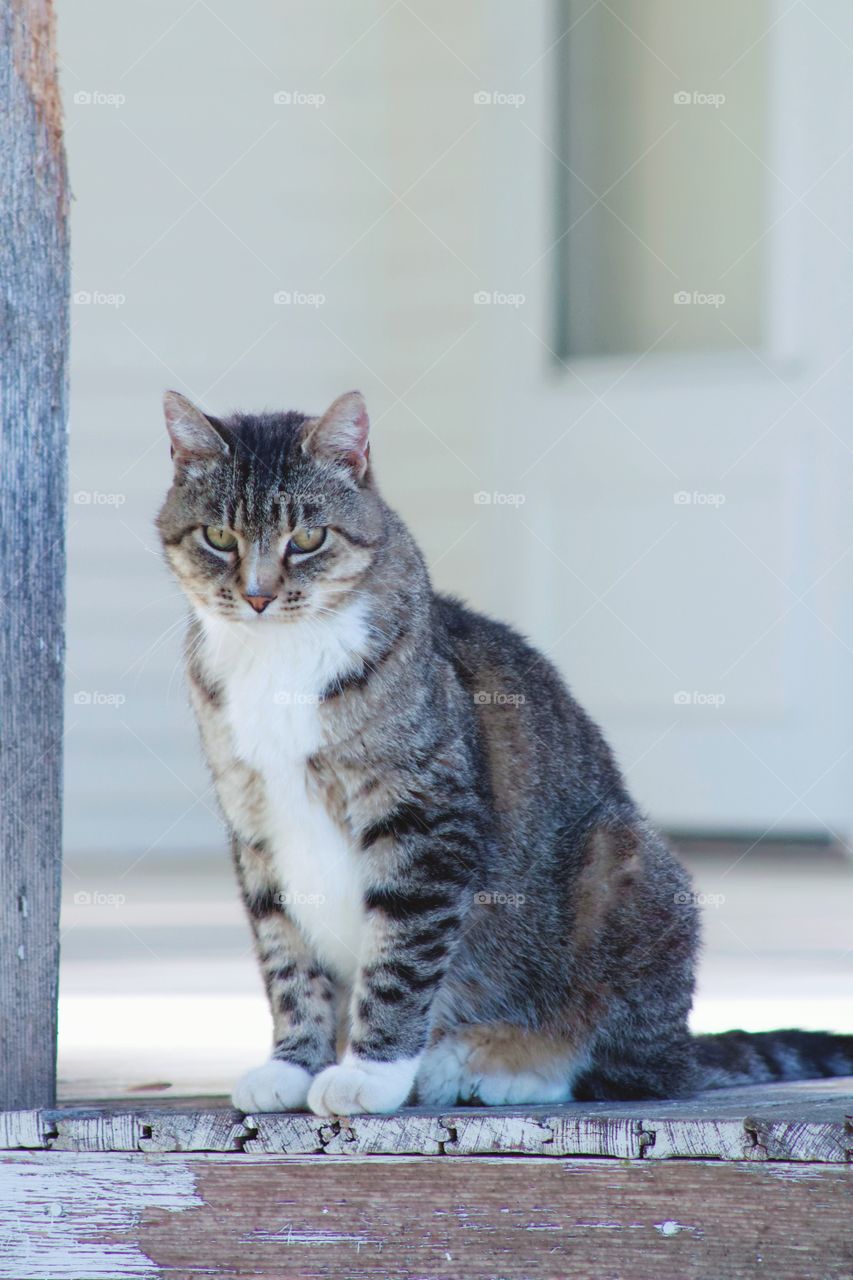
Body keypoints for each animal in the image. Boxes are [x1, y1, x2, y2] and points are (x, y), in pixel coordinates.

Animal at [156, 384, 845, 1116]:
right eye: (218, 537)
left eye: (307, 538)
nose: (257, 596)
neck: (279, 659)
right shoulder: (256, 831)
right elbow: (286, 960)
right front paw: (292, 1064)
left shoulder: (426, 821)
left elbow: (399, 959)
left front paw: (372, 1072)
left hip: (624, 860)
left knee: (629, 1070)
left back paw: (493, 1063)